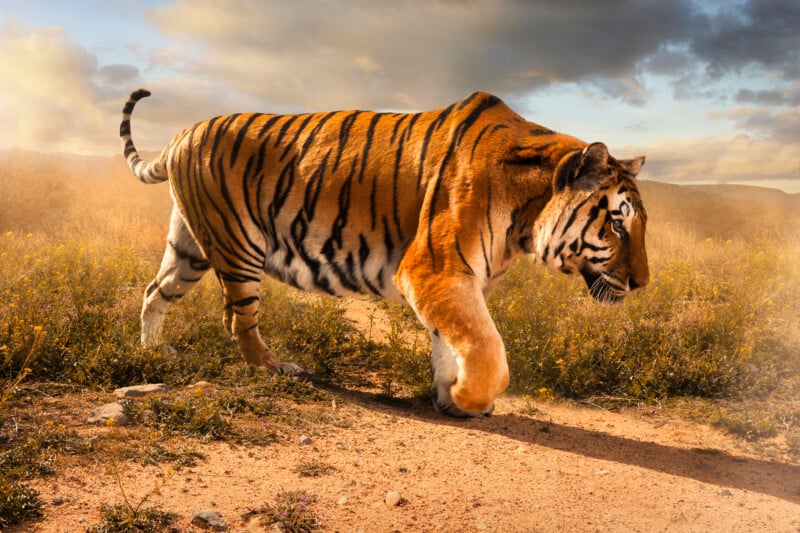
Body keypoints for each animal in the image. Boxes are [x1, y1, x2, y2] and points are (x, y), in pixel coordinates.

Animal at [120, 88, 648, 417]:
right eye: (617, 223)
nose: (641, 283)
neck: (524, 217)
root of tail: (181, 134)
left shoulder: (457, 282)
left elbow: (450, 343)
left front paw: (448, 399)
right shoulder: (436, 270)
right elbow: (486, 349)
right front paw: (469, 397)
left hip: (190, 248)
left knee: (154, 292)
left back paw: (153, 352)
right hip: (237, 245)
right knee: (237, 319)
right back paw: (276, 368)